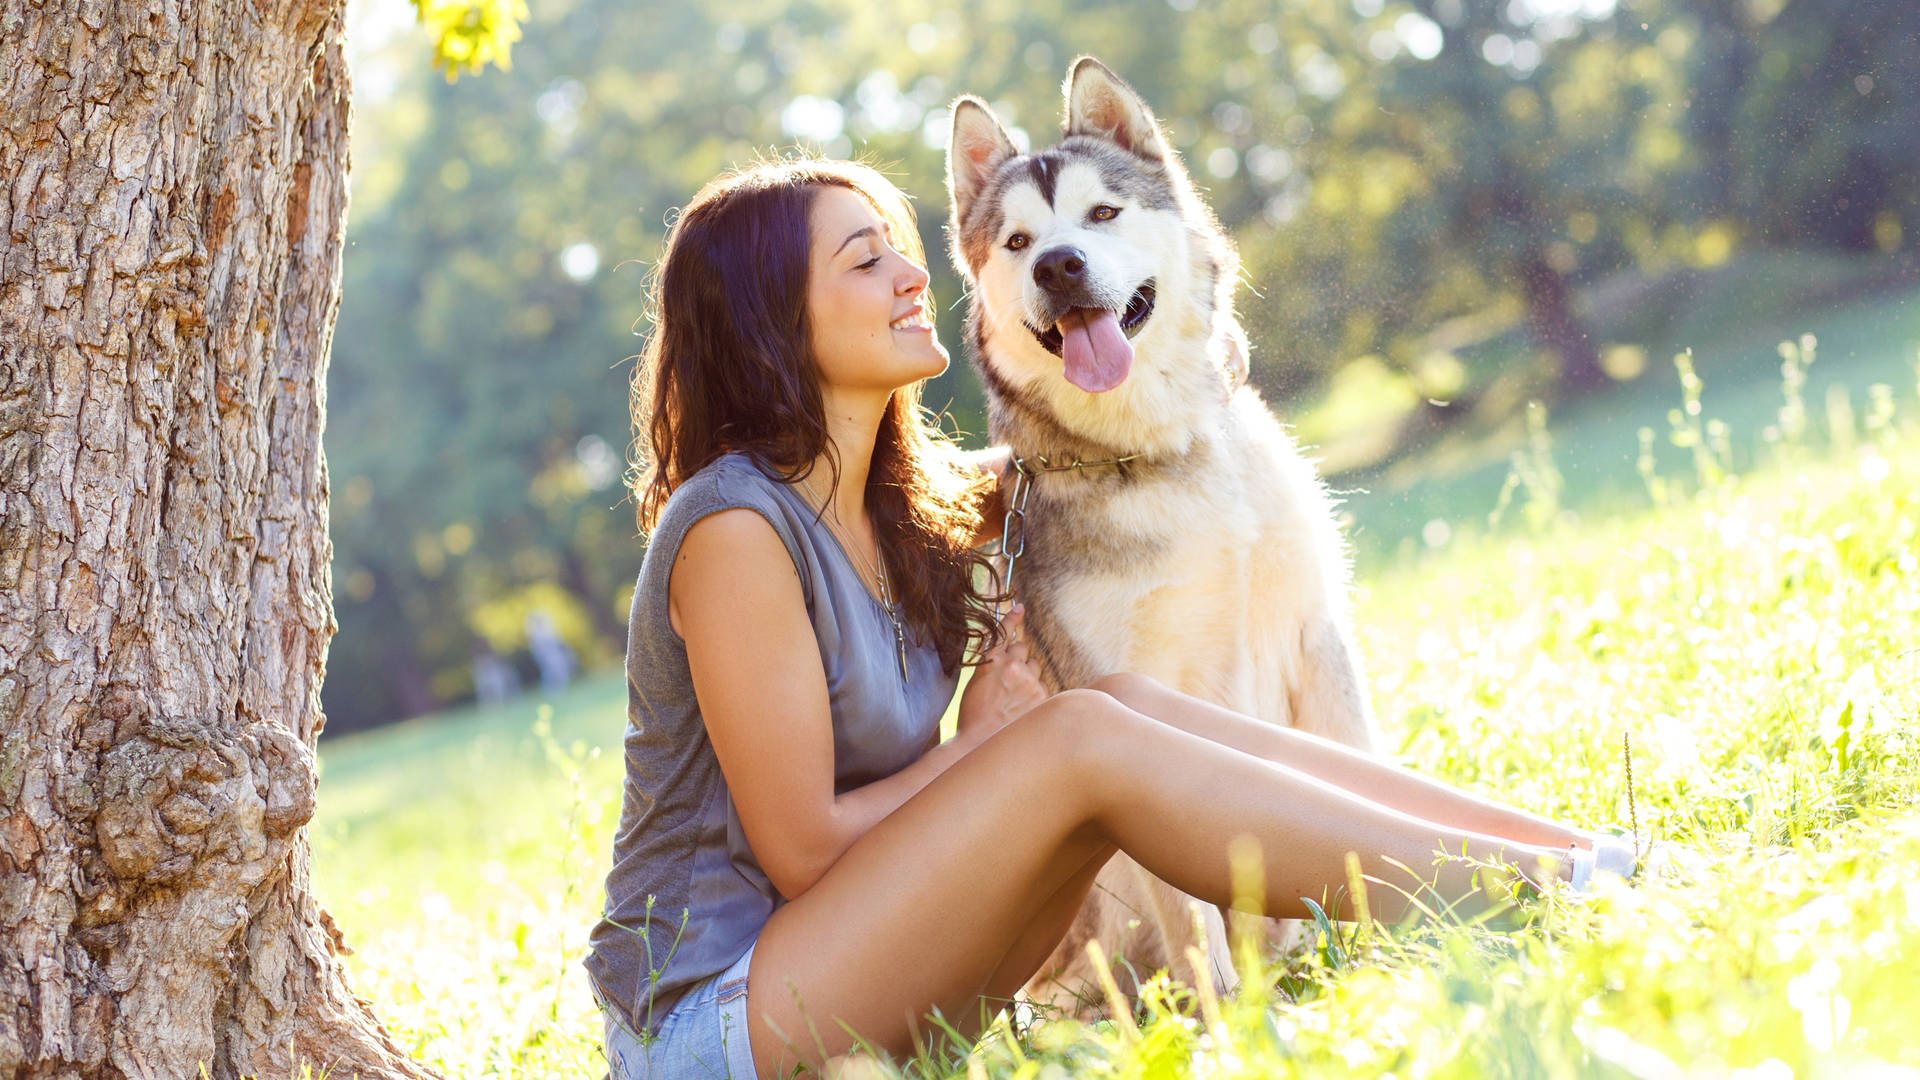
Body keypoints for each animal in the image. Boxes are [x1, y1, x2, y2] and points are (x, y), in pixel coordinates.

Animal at [944, 56, 1382, 1014]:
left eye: (1102, 215)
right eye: (1018, 243)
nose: (1061, 265)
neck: (1160, 448)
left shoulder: (1314, 634)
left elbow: (1359, 771)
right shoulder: (1124, 692)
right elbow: (1190, 917)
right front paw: (1226, 1018)